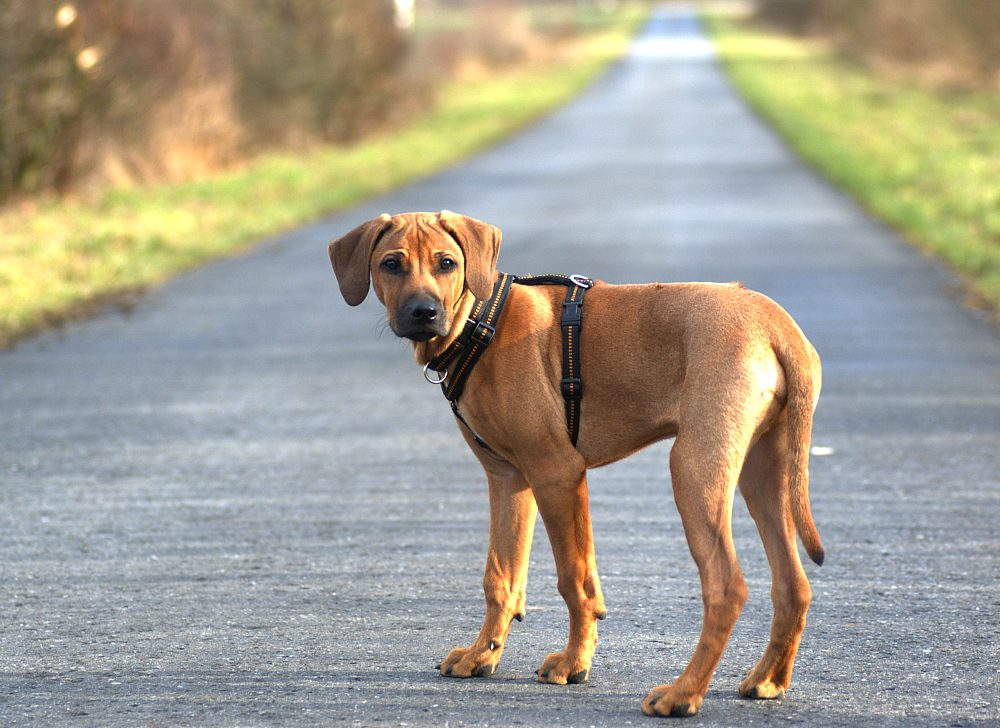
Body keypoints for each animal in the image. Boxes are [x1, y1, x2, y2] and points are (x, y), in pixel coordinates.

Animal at [328, 209, 820, 716]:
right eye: (391, 264)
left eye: (447, 263)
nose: (423, 312)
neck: (481, 323)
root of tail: (776, 324)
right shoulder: (508, 479)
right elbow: (501, 577)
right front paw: (482, 655)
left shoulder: (557, 473)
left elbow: (573, 579)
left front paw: (573, 664)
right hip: (763, 473)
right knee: (794, 585)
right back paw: (767, 680)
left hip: (694, 468)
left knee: (727, 586)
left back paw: (682, 694)